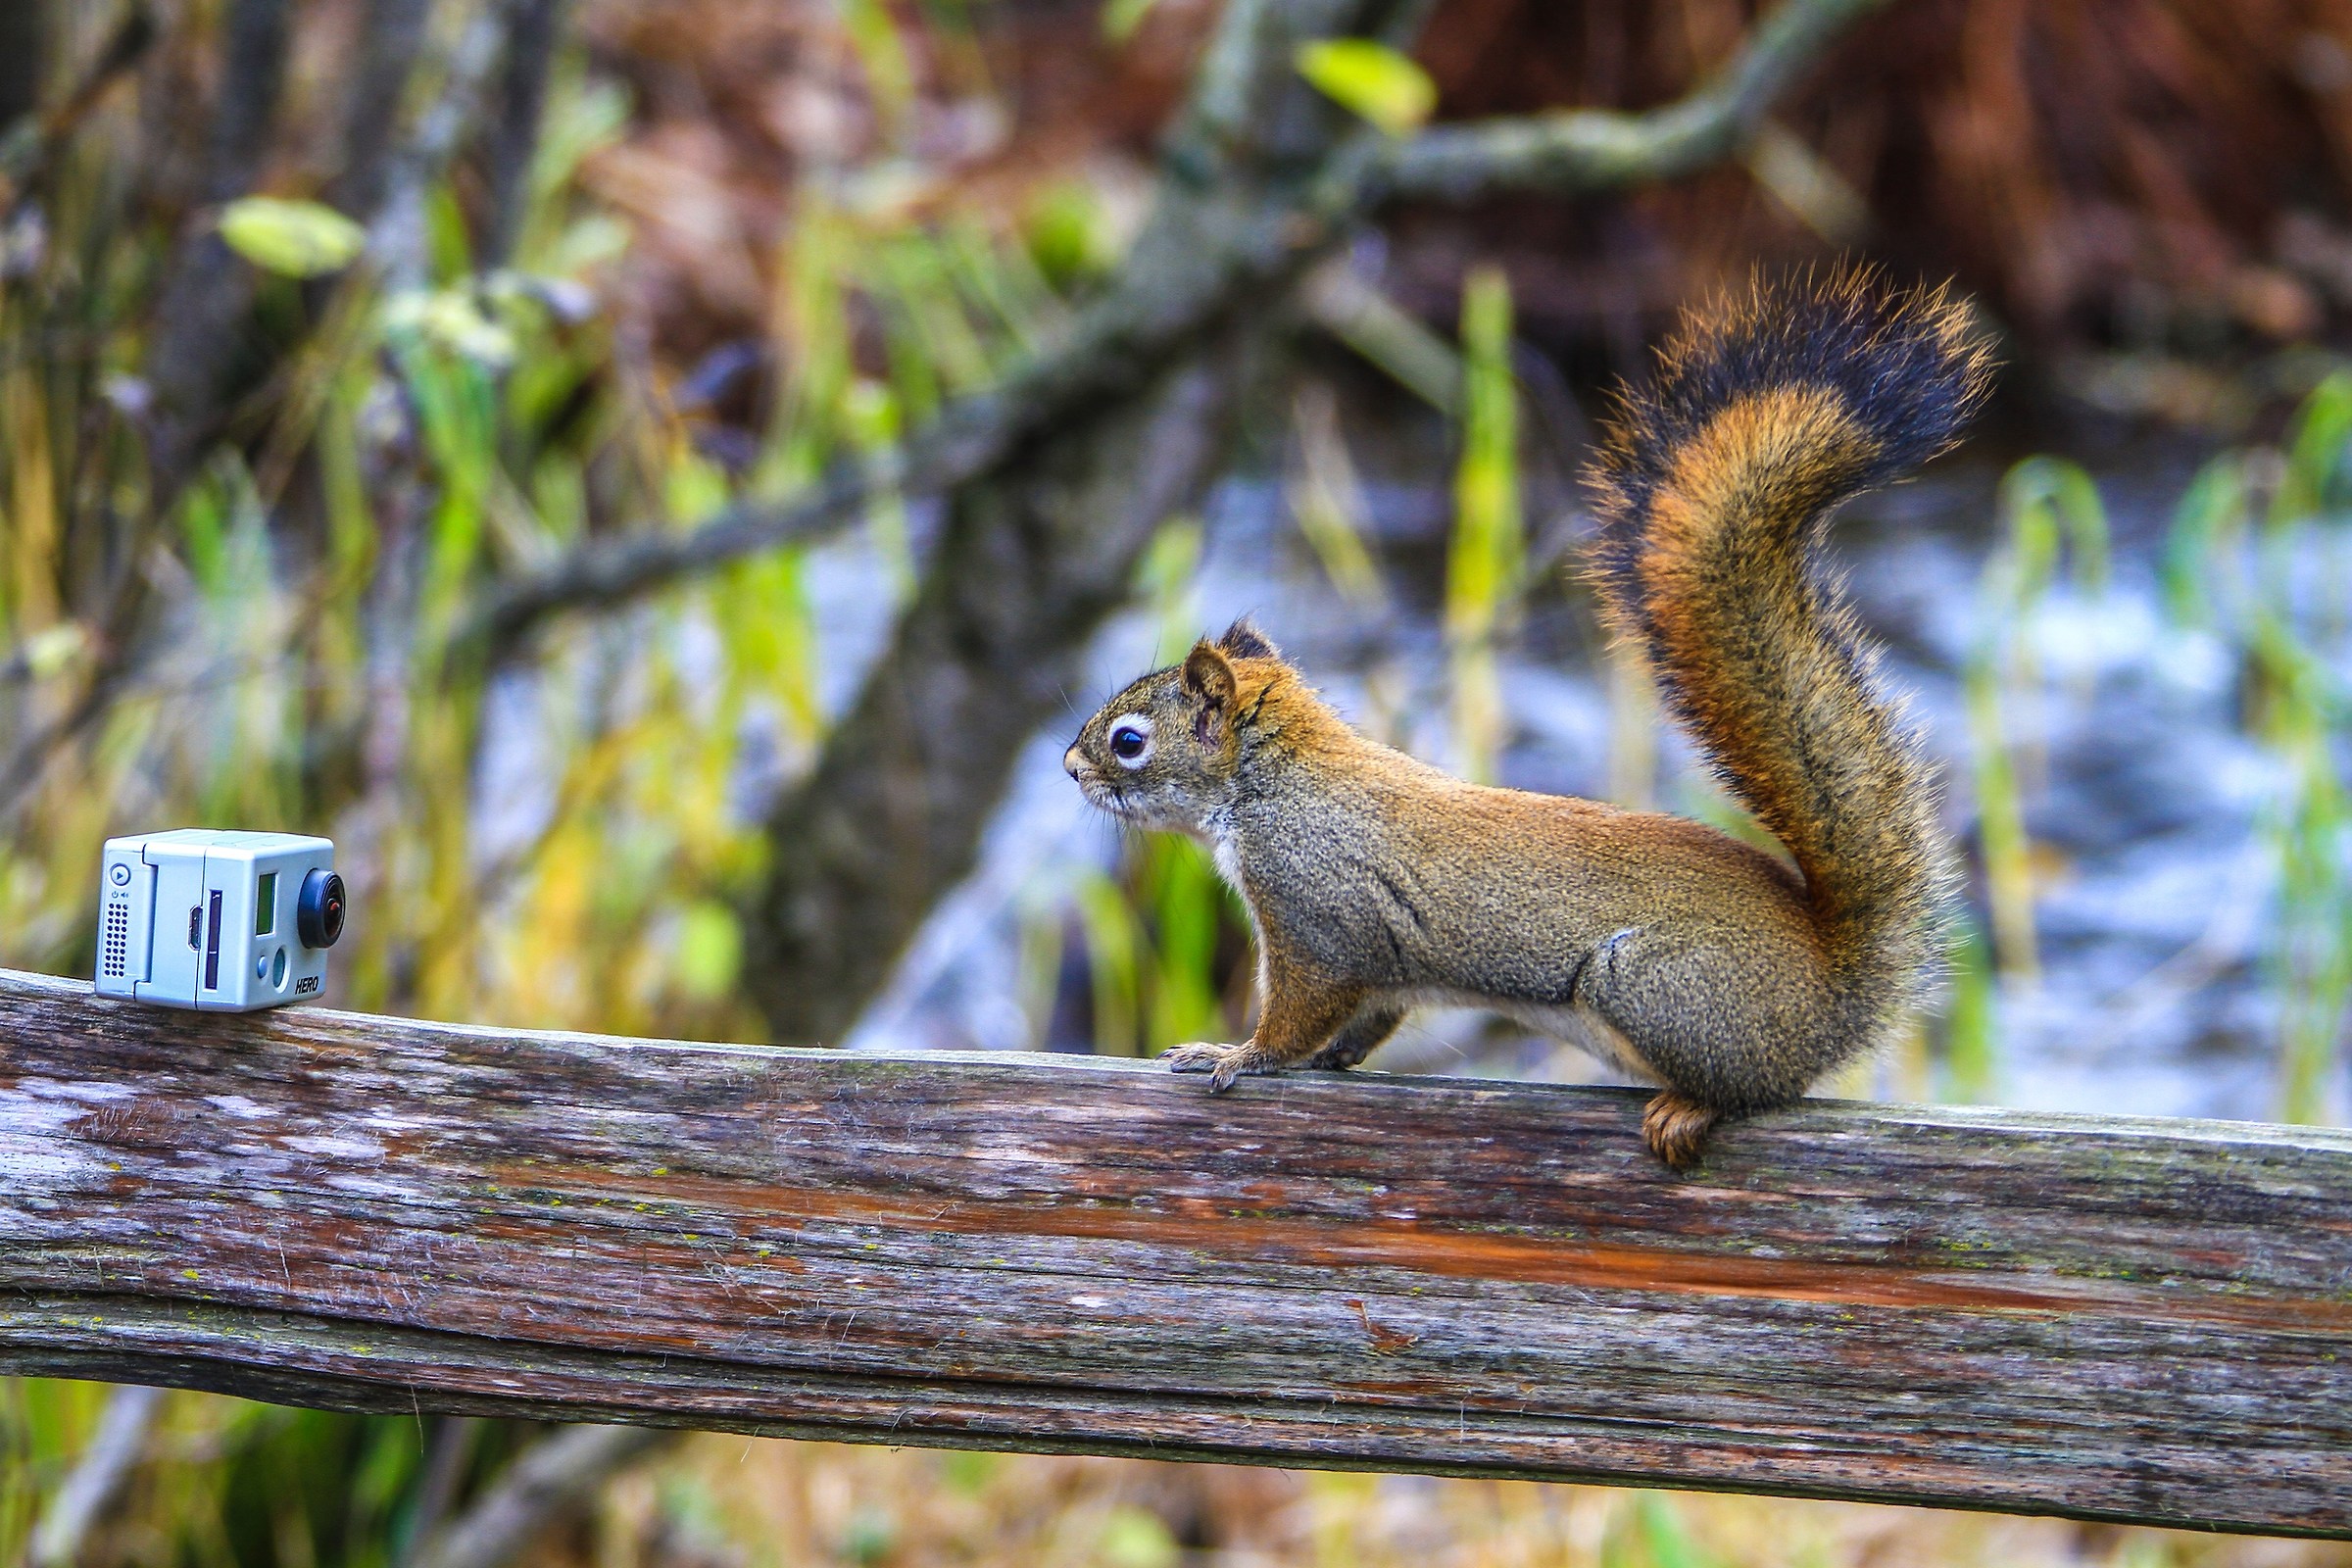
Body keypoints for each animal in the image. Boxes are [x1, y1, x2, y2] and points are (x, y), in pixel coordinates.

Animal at [1063, 271, 1991, 1167]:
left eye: (1128, 742)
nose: (1069, 768)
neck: (1273, 781)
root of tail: (1836, 991)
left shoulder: (1316, 913)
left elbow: (1299, 1014)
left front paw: (1232, 1056)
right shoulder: (1372, 964)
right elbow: (1364, 1023)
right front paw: (1308, 1059)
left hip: (1649, 985)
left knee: (1753, 1088)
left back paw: (1690, 1107)